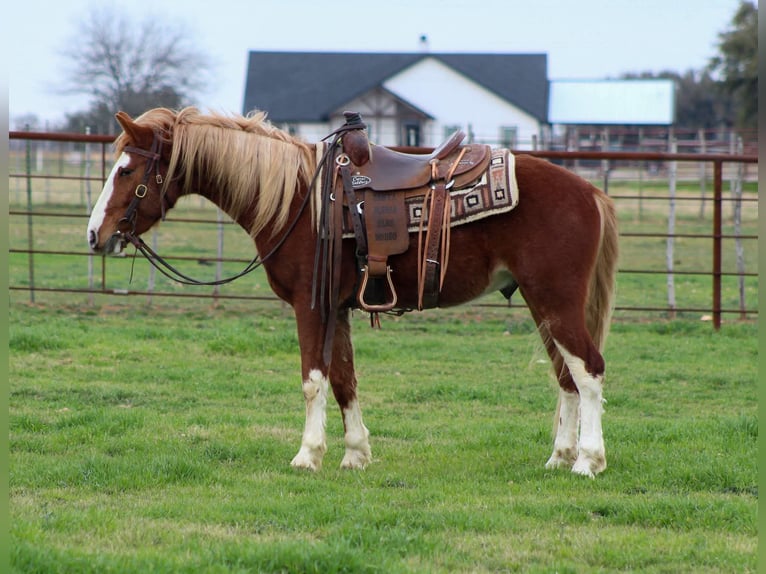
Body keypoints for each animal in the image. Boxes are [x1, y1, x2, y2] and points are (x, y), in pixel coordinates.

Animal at [87, 106, 620, 480]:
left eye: (126, 172)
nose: (95, 235)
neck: (297, 201)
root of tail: (589, 192)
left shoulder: (311, 305)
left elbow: (312, 380)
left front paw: (307, 455)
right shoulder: (338, 309)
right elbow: (345, 380)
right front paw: (356, 454)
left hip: (555, 300)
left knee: (589, 371)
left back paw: (588, 460)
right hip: (541, 303)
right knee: (566, 377)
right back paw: (559, 457)